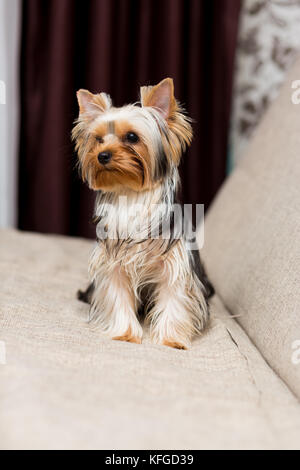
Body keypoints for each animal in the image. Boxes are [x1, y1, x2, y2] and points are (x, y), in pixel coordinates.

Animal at [72, 78, 213, 348]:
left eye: (131, 137)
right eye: (98, 140)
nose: (102, 155)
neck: (132, 195)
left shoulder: (174, 263)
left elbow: (174, 297)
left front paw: (171, 339)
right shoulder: (114, 262)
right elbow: (118, 295)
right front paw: (126, 333)